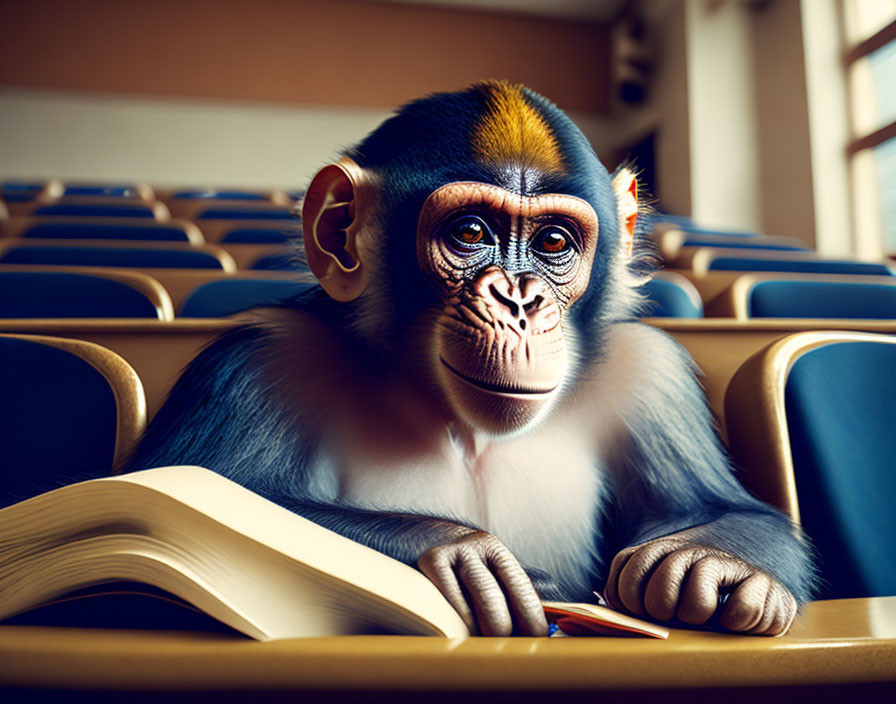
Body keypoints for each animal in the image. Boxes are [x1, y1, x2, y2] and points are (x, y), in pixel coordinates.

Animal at [122, 81, 816, 640]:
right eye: (471, 233)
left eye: (553, 242)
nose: (519, 300)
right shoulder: (255, 361)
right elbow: (178, 496)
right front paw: (452, 549)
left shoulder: (651, 372)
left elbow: (715, 506)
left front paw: (716, 565)